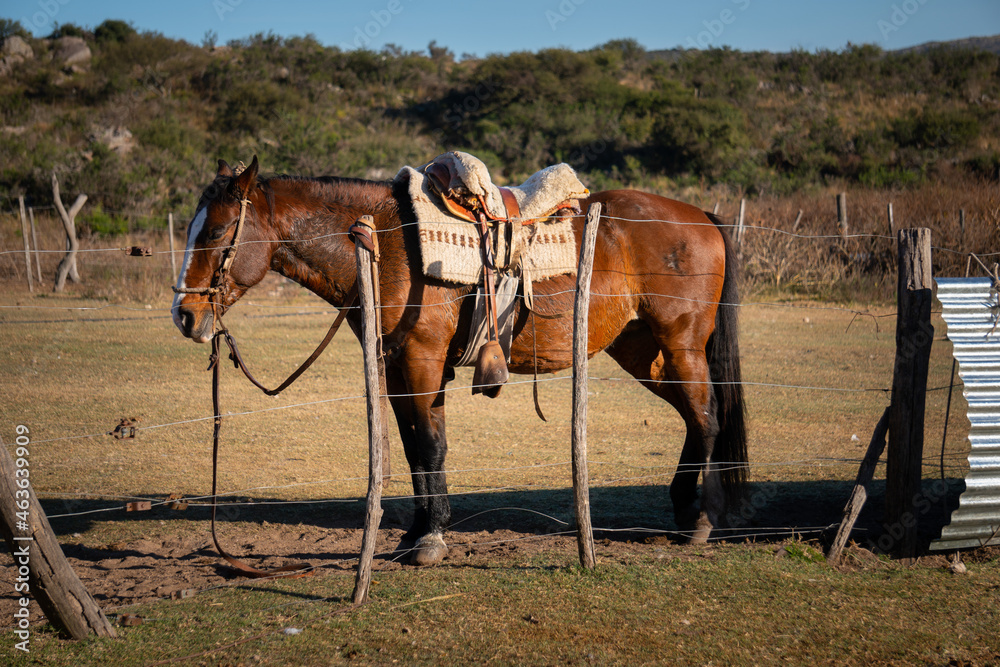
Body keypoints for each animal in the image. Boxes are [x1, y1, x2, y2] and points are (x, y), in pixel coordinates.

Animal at [172, 156, 748, 566]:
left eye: (217, 232)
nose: (185, 314)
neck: (388, 242)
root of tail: (702, 217)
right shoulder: (397, 368)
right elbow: (413, 448)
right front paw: (415, 532)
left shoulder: (423, 361)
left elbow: (431, 444)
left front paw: (431, 538)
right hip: (644, 353)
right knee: (695, 419)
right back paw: (687, 512)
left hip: (680, 345)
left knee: (706, 417)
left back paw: (697, 521)